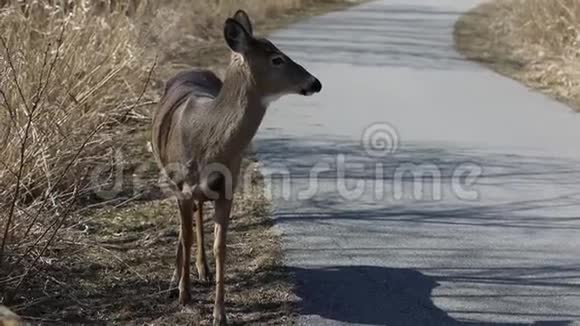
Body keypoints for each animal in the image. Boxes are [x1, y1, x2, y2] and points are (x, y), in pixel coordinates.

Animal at [150, 8, 322, 324]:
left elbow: (221, 246)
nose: (315, 82)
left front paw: (220, 313)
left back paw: (202, 270)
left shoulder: (227, 189)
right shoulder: (181, 188)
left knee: (197, 214)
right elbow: (186, 236)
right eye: (276, 58)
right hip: (169, 177)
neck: (208, 141)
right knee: (185, 226)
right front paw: (184, 296)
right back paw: (175, 282)